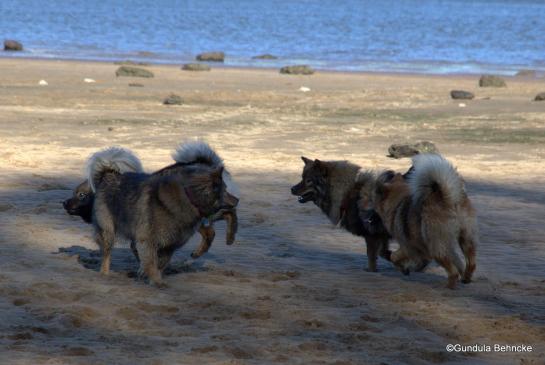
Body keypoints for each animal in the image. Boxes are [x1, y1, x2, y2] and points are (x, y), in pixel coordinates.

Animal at [366, 154, 476, 288]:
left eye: (373, 206)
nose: (368, 219)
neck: (397, 202)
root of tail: (448, 198)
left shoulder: (408, 247)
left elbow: (394, 257)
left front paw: (404, 269)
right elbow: (458, 262)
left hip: (436, 246)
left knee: (453, 272)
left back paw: (449, 286)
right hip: (465, 239)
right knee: (471, 263)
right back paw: (465, 278)